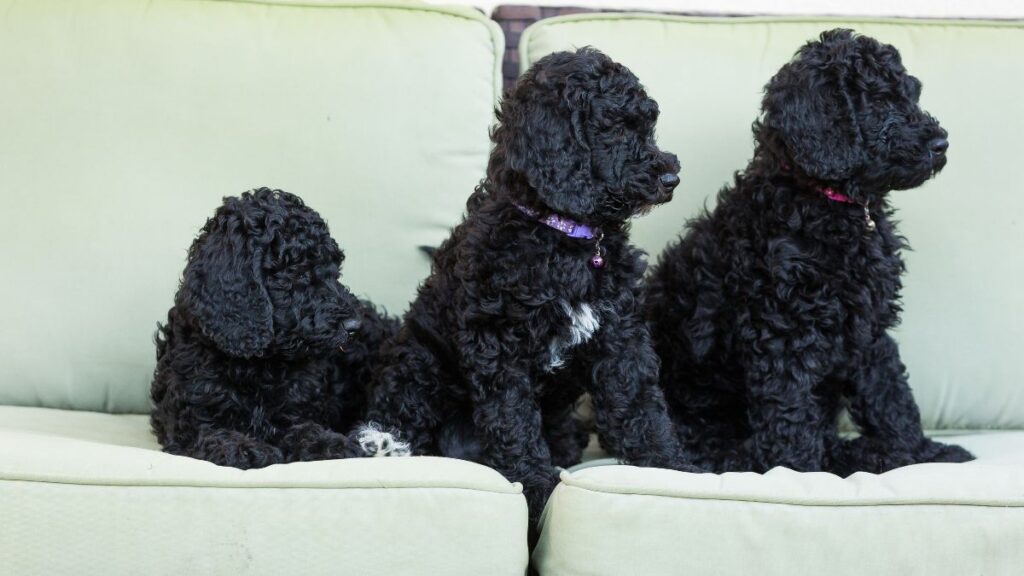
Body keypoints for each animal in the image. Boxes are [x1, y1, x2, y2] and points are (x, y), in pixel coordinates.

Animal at [151, 188, 407, 467]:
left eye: (335, 271)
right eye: (299, 273)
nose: (354, 327)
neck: (258, 364)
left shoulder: (296, 411)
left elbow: (304, 429)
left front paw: (329, 443)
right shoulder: (188, 419)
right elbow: (211, 433)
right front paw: (242, 448)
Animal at [368, 47, 696, 518]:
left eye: (648, 125)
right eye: (613, 127)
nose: (671, 179)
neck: (564, 236)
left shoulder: (619, 333)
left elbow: (638, 400)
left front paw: (669, 469)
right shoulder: (497, 343)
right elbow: (513, 417)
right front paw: (537, 485)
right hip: (418, 360)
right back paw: (384, 442)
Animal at [647, 29, 974, 473]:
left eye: (910, 94)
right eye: (879, 101)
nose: (941, 143)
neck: (829, 202)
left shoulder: (868, 328)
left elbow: (891, 395)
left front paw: (922, 452)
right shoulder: (781, 330)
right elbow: (790, 412)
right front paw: (798, 472)